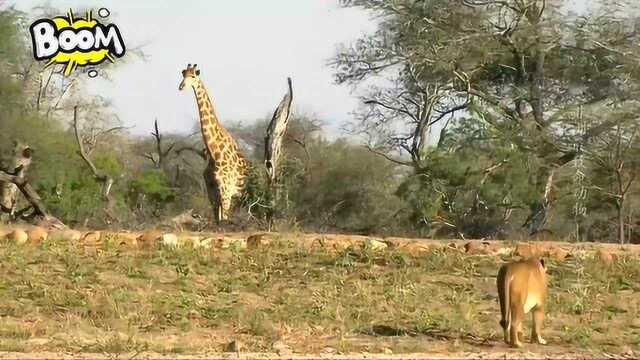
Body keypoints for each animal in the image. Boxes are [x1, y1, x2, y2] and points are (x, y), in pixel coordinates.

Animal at [181, 63, 251, 224]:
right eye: (183, 75)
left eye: (192, 76)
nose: (181, 86)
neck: (214, 154)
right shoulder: (212, 191)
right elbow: (217, 220)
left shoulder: (226, 191)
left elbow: (223, 220)